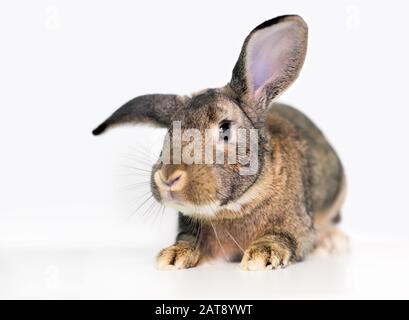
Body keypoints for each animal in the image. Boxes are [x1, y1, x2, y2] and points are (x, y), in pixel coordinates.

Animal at [93, 15, 348, 270]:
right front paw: (173, 256)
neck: (237, 205)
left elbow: (286, 237)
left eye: (225, 129)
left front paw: (261, 256)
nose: (167, 178)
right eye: (169, 133)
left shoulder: (298, 226)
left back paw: (334, 242)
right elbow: (189, 241)